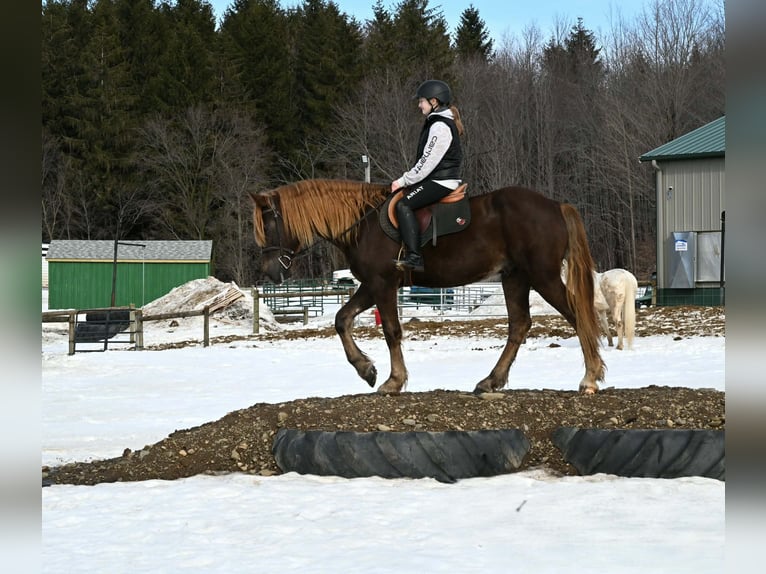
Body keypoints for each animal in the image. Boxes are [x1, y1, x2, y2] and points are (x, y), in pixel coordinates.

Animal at [250, 179, 606, 394]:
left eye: (269, 224)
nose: (267, 272)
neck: (362, 223)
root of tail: (555, 206)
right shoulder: (371, 285)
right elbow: (342, 320)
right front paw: (366, 370)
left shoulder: (383, 284)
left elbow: (391, 331)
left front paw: (393, 381)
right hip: (514, 277)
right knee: (519, 325)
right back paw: (491, 380)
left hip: (542, 276)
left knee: (576, 315)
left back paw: (590, 377)